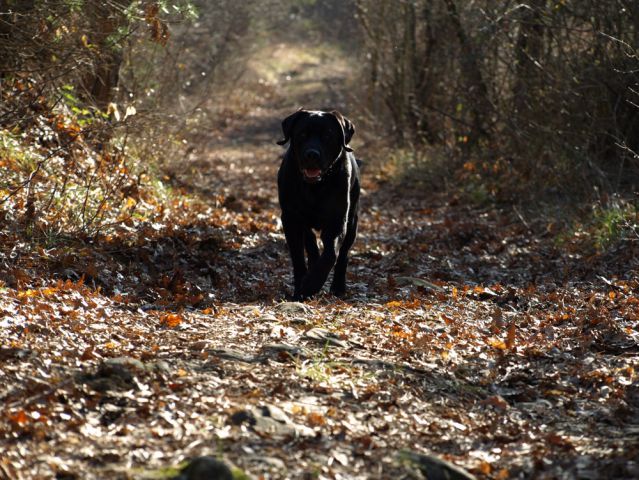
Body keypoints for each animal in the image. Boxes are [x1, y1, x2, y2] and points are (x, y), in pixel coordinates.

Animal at [278, 109, 362, 300]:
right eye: (302, 134)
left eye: (327, 136)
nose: (312, 154)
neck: (315, 187)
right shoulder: (291, 219)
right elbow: (298, 257)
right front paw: (300, 291)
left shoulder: (337, 220)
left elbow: (331, 254)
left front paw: (312, 284)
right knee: (311, 245)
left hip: (352, 222)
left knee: (343, 255)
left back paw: (338, 287)